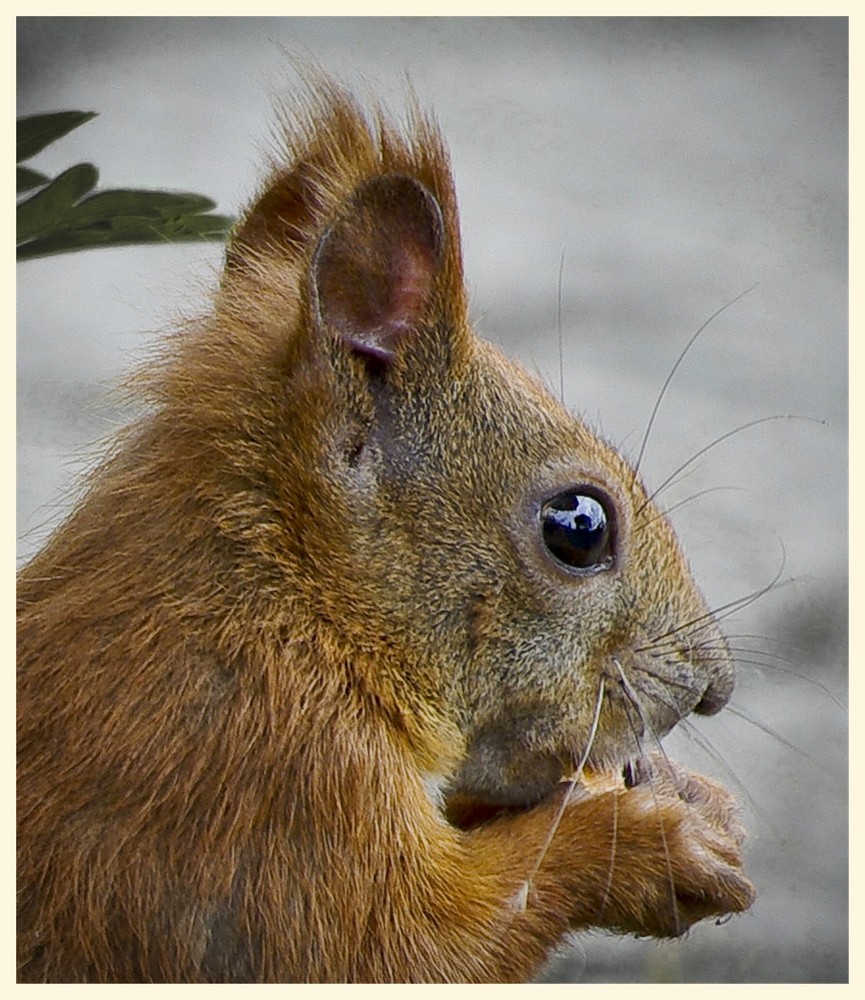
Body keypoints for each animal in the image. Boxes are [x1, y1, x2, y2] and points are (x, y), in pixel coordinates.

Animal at [16, 78, 752, 984]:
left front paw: (680, 792)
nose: (713, 689)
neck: (293, 599)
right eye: (577, 526)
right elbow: (410, 947)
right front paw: (652, 840)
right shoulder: (266, 781)